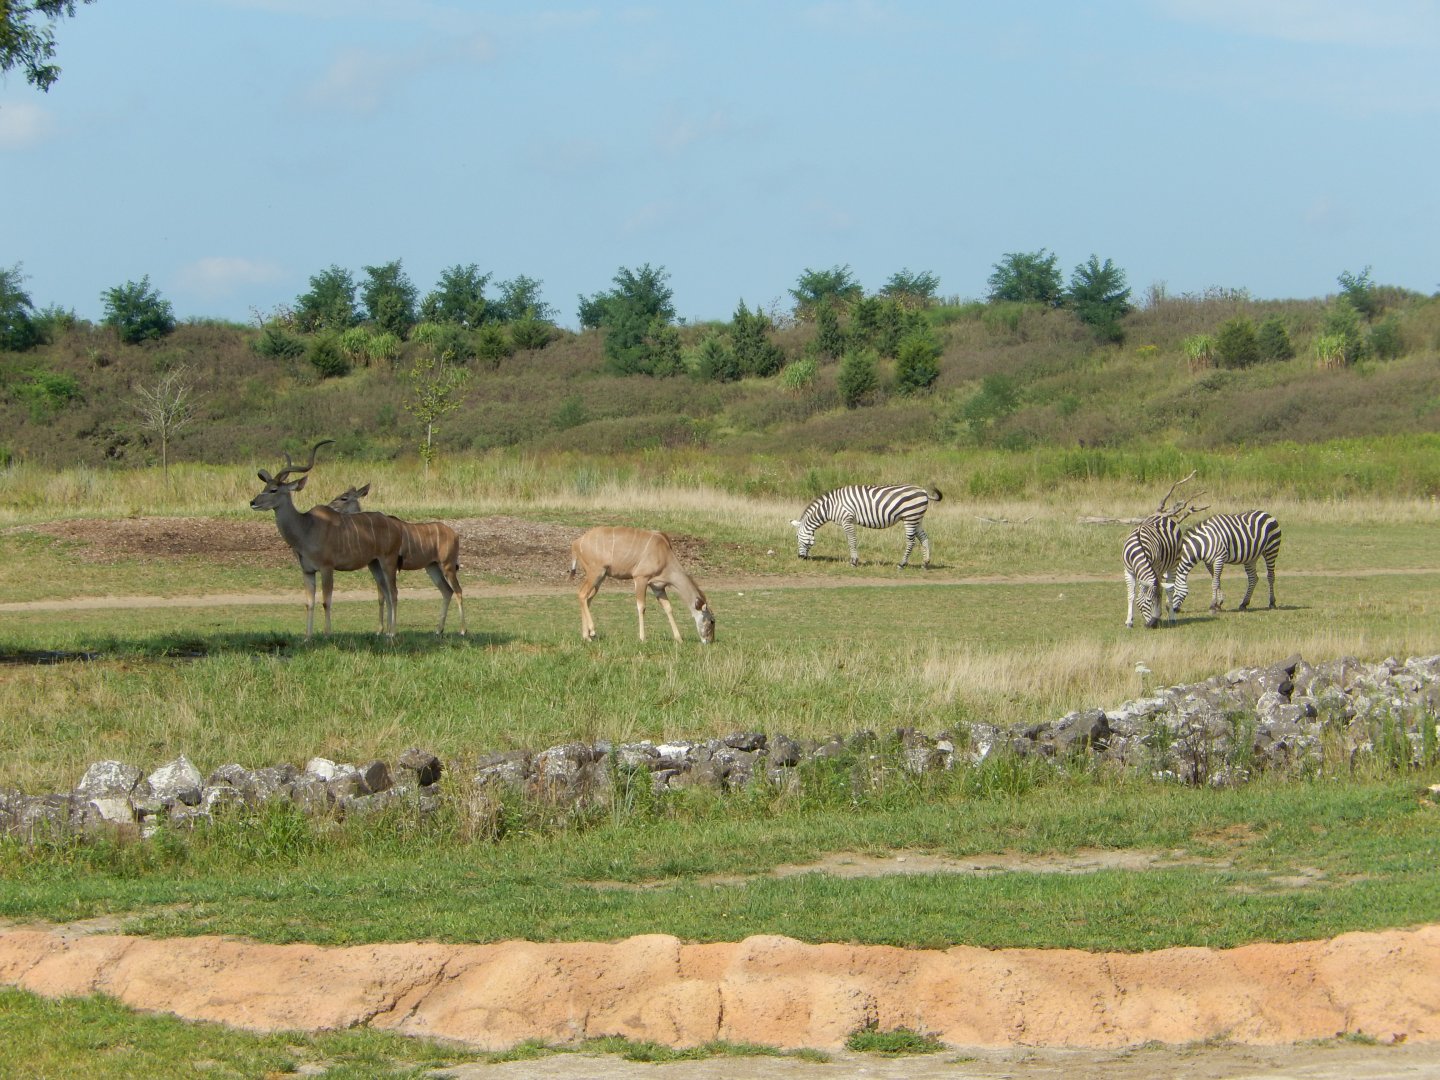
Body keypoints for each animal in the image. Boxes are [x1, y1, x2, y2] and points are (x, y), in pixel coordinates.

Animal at [790, 484, 942, 569]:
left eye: (797, 538)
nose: (800, 557)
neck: (830, 506)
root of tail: (924, 492)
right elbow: (850, 541)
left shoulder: (847, 520)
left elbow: (851, 541)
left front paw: (854, 562)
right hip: (916, 518)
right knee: (924, 538)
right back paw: (925, 563)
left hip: (910, 518)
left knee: (911, 542)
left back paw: (902, 564)